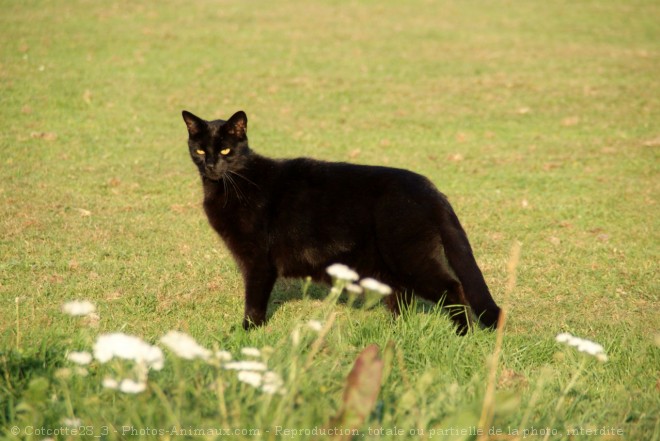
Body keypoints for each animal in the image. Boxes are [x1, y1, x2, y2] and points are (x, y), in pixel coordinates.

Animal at [180, 108, 500, 332]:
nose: (211, 165)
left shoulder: (257, 260)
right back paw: (393, 334)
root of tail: (431, 189)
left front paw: (246, 332)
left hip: (410, 257)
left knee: (453, 288)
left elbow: (254, 301)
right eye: (199, 150)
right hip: (393, 265)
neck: (229, 186)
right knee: (403, 300)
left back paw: (462, 334)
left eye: (225, 150)